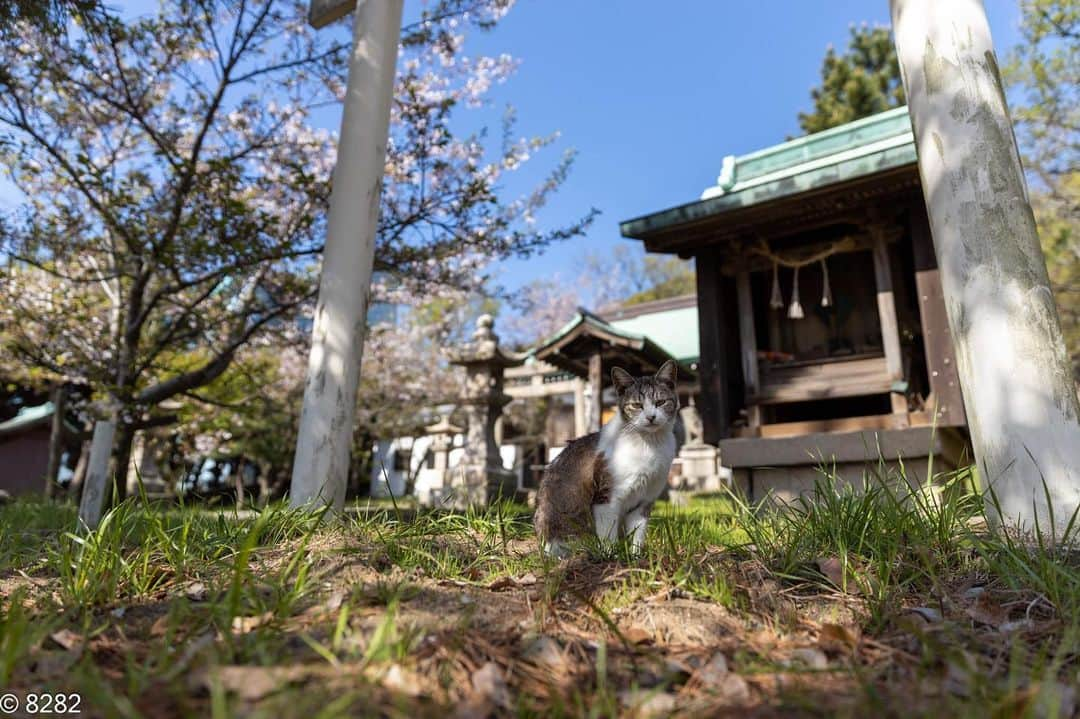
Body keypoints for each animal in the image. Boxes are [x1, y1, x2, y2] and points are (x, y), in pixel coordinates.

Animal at [535, 360, 678, 557]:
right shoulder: (606, 497)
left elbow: (638, 532)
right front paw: (611, 555)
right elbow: (607, 533)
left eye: (660, 402)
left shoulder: (644, 500)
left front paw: (635, 556)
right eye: (637, 405)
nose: (651, 417)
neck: (648, 445)